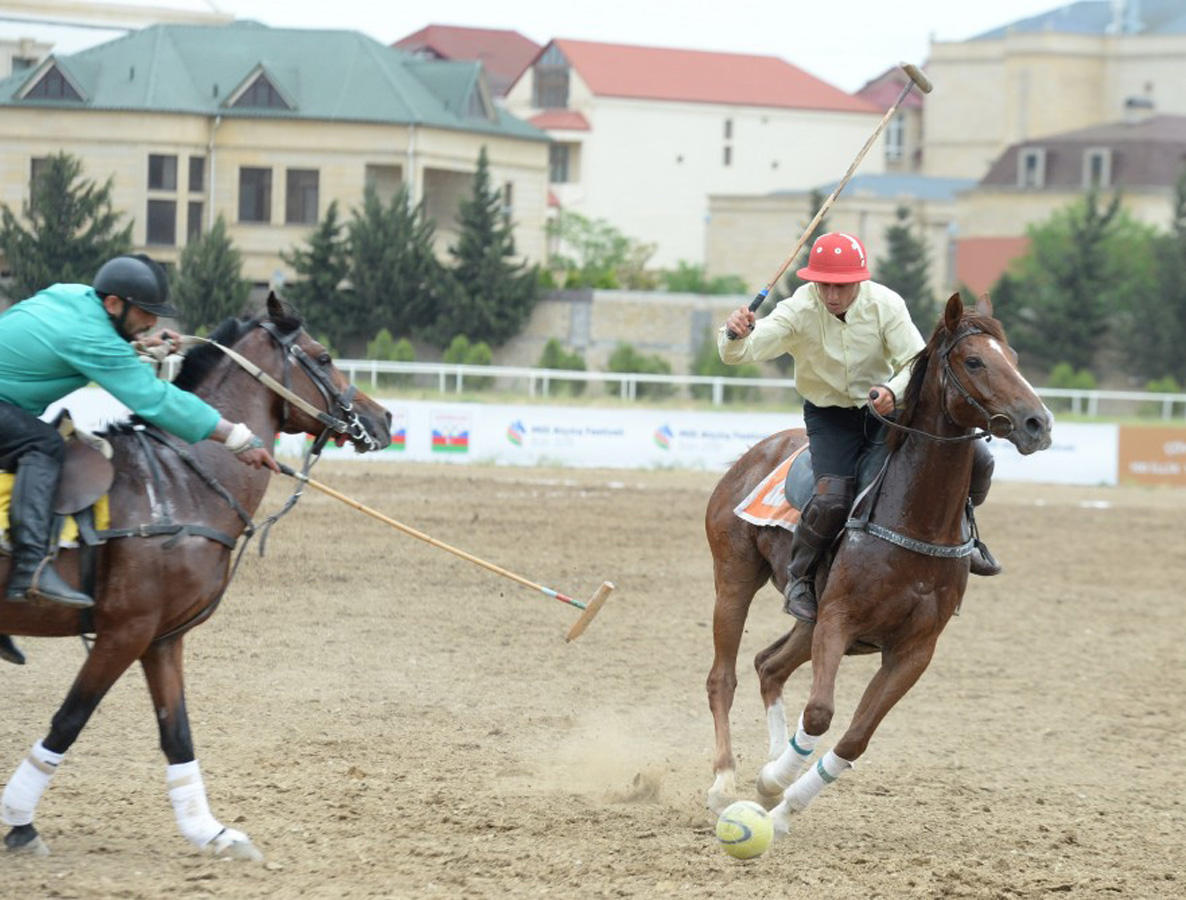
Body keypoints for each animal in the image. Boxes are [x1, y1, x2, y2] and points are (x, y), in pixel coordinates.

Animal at [0, 294, 391, 858]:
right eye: (322, 356)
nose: (384, 418)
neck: (179, 481)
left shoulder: (162, 637)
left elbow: (176, 732)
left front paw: (212, 831)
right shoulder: (124, 631)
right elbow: (69, 720)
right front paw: (20, 821)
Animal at [697, 291, 1053, 834]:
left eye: (1012, 357)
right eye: (974, 361)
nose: (1039, 423)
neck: (916, 520)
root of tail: (753, 453)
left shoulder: (913, 650)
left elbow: (853, 739)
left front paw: (781, 804)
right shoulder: (839, 620)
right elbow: (819, 714)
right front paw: (774, 784)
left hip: (808, 618)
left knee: (769, 666)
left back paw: (770, 765)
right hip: (734, 576)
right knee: (725, 675)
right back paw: (723, 782)